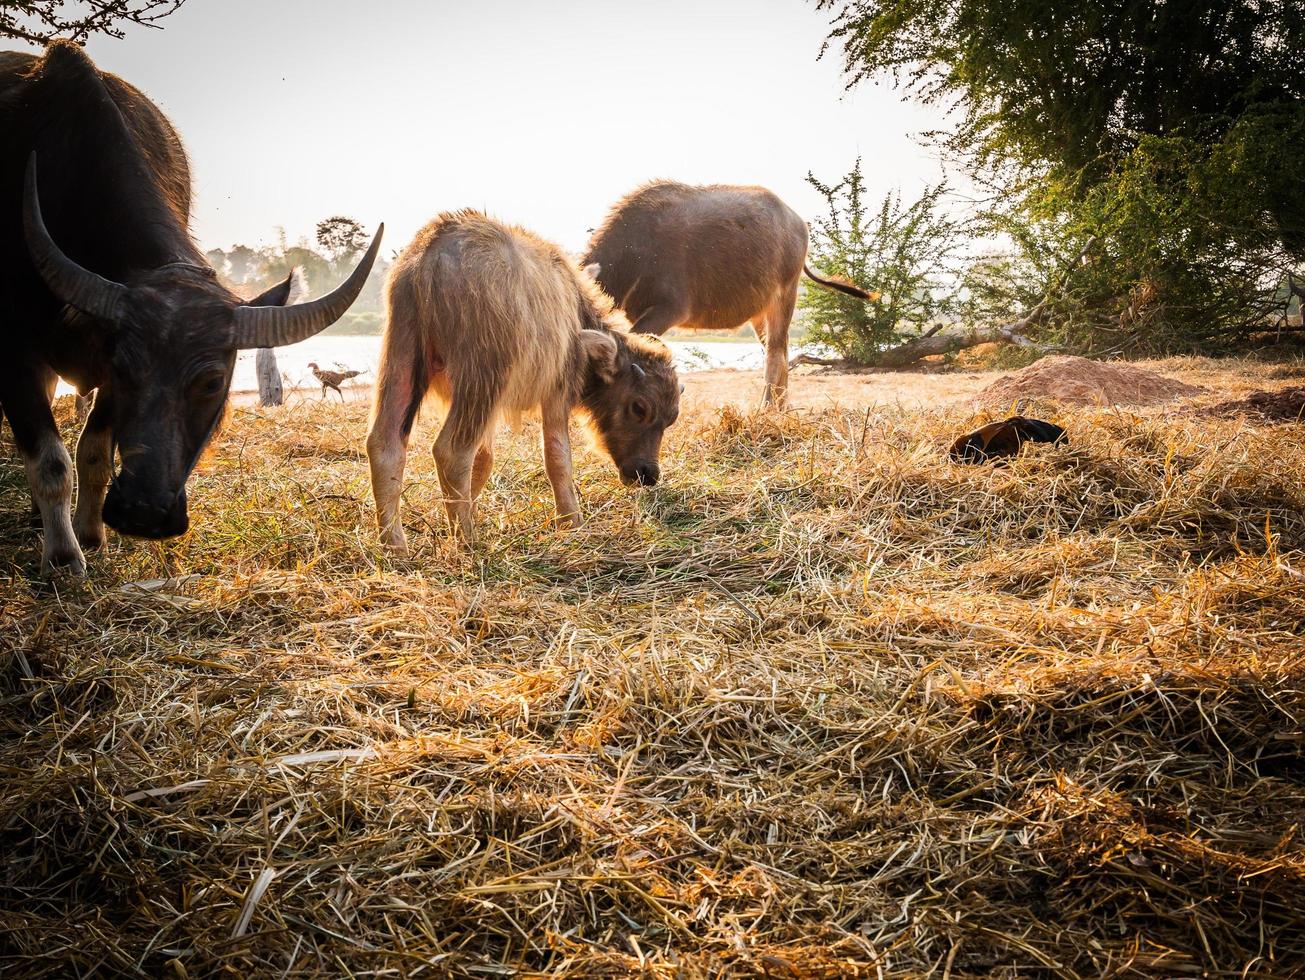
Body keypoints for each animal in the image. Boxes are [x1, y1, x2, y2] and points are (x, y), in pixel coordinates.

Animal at [2, 44, 381, 574]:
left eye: (212, 383)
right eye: (125, 368)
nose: (143, 514)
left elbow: (92, 451)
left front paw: (91, 536)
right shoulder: (16, 356)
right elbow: (51, 460)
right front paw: (63, 559)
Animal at [362, 210, 678, 548]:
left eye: (670, 419)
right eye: (639, 408)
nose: (648, 473)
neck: (575, 311)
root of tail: (432, 252)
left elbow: (485, 459)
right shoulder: (558, 389)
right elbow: (558, 456)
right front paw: (572, 521)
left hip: (401, 350)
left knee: (385, 444)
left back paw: (395, 544)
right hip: (484, 373)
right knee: (452, 451)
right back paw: (467, 539)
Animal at [584, 182, 876, 407]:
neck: (635, 251)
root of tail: (798, 223)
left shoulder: (668, 310)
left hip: (785, 295)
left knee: (776, 353)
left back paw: (766, 409)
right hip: (760, 312)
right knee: (779, 349)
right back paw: (782, 408)